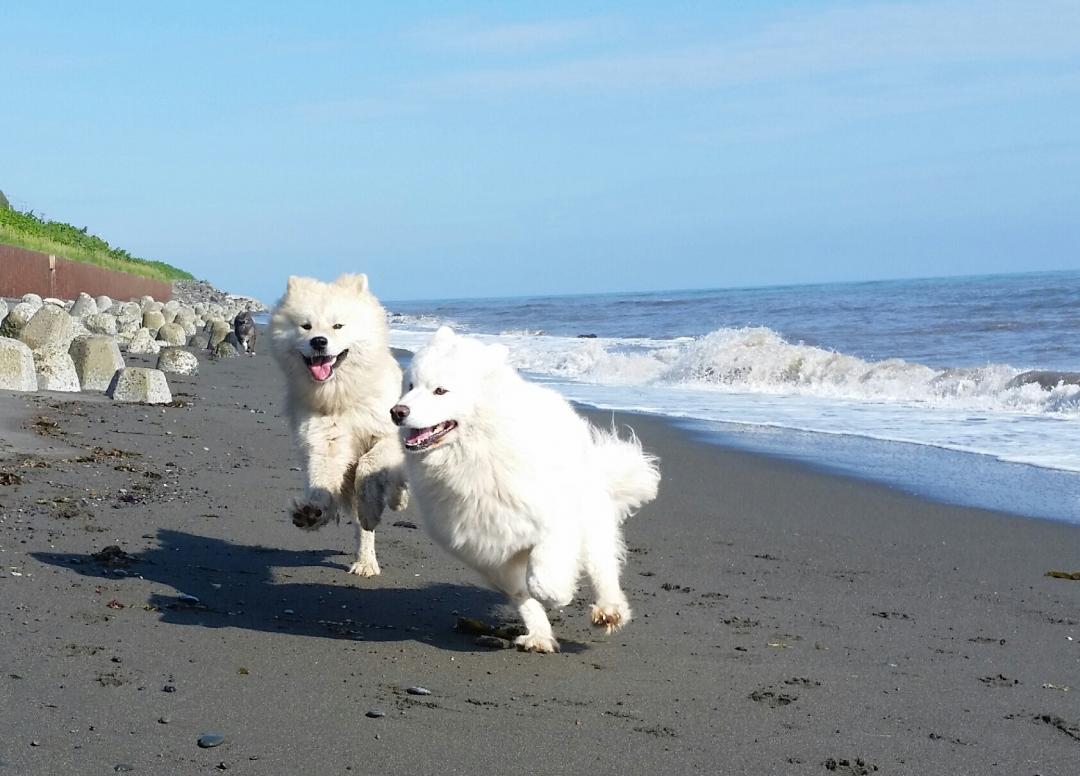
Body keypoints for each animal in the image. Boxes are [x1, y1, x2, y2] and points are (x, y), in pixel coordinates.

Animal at [267, 275, 406, 578]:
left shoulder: (391, 437)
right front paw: (311, 512)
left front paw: (372, 505)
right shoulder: (325, 443)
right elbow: (322, 484)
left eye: (338, 326)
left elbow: (369, 465)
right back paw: (364, 561)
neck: (341, 396)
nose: (319, 341)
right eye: (305, 326)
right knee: (360, 528)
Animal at [388, 323, 656, 651]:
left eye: (440, 390)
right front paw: (540, 632)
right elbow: (522, 596)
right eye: (410, 385)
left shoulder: (554, 521)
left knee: (602, 566)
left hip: (589, 515)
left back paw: (609, 610)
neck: (478, 456)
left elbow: (541, 578)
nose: (397, 411)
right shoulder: (487, 553)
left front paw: (558, 594)